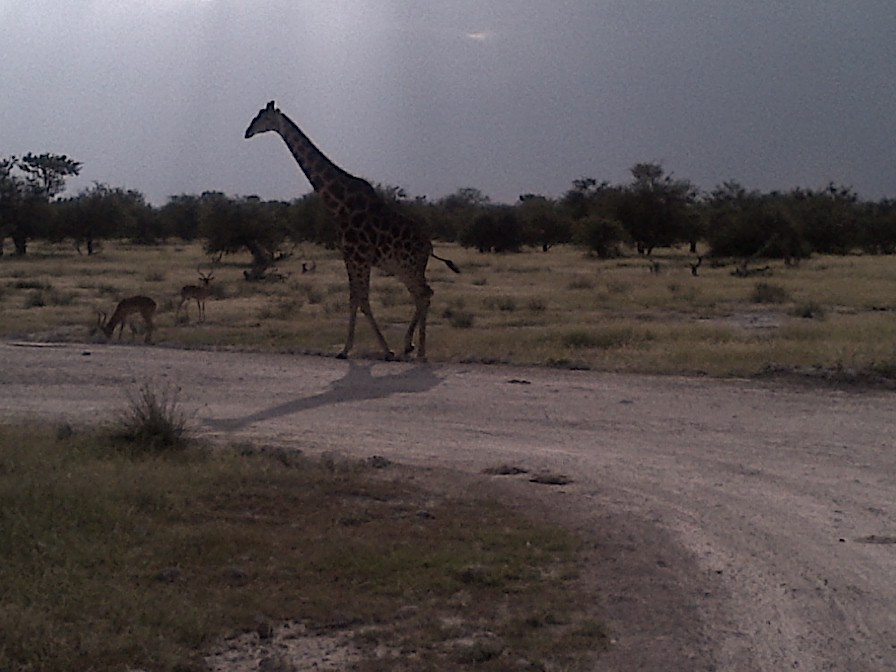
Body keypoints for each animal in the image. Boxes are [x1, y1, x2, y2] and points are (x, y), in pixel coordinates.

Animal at [243, 100, 458, 360]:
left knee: (424, 294)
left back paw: (421, 352)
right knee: (421, 295)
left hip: (409, 265)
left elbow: (361, 300)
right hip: (401, 267)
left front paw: (382, 350)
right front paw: (347, 349)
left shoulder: (358, 256)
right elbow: (355, 299)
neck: (339, 204)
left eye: (263, 117)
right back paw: (410, 346)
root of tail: (429, 246)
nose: (247, 132)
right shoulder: (350, 256)